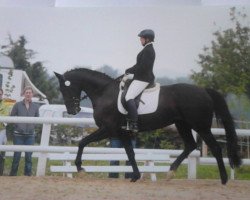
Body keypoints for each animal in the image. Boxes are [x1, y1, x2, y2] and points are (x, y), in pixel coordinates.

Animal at [54, 67, 240, 184]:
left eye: (64, 89)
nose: (72, 111)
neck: (104, 93)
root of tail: (204, 90)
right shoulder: (122, 133)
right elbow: (130, 153)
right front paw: (135, 176)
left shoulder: (108, 129)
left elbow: (82, 142)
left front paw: (80, 168)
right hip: (182, 124)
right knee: (190, 145)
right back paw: (170, 172)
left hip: (201, 127)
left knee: (216, 148)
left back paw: (224, 179)